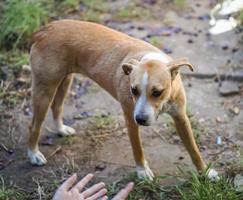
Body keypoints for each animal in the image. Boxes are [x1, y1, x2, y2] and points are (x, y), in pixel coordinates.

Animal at [29, 19, 218, 180]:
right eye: (133, 90)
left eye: (157, 92)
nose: (140, 119)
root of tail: (43, 30)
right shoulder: (130, 119)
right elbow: (137, 149)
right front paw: (142, 171)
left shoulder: (181, 118)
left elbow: (193, 149)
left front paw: (205, 172)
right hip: (45, 90)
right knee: (34, 126)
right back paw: (33, 155)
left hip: (65, 81)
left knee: (57, 107)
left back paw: (61, 130)